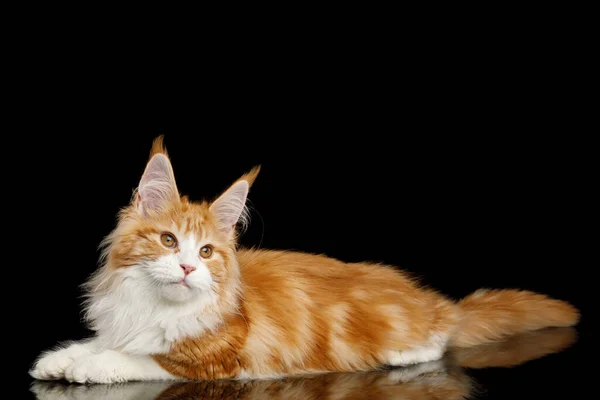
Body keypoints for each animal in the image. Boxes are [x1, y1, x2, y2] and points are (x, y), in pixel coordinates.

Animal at [29, 137, 580, 384]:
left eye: (206, 252)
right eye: (168, 241)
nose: (187, 268)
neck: (154, 305)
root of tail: (434, 302)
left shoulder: (212, 360)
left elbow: (135, 358)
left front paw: (88, 366)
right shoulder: (124, 322)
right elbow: (100, 340)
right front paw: (60, 358)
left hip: (411, 331)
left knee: (439, 341)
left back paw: (407, 353)